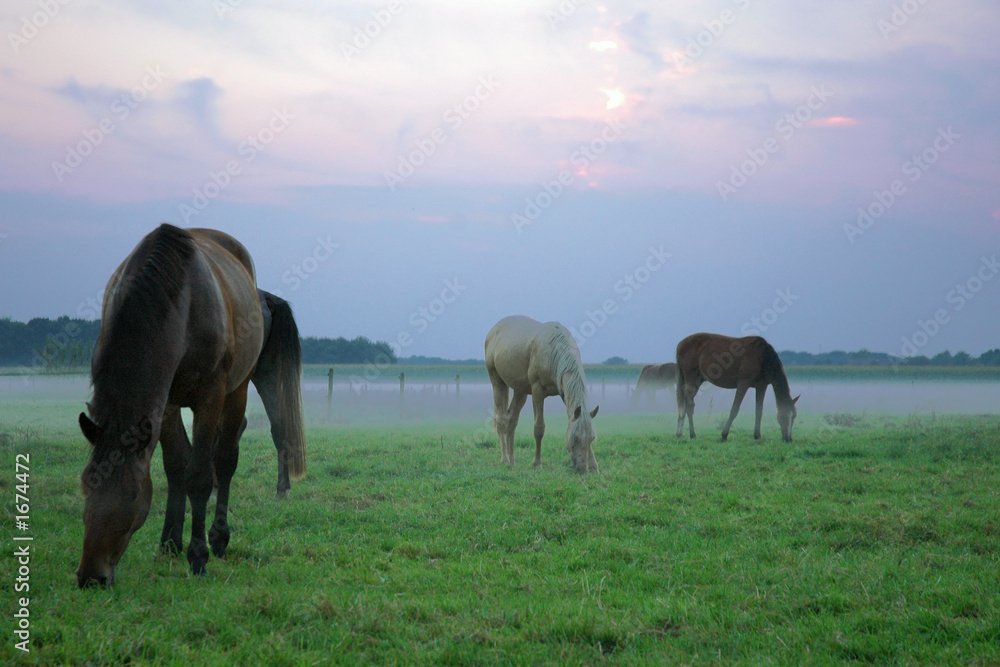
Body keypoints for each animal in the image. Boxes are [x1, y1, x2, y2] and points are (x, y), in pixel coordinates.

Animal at [77, 226, 304, 588]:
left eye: (133, 494)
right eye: (86, 485)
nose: (91, 576)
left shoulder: (210, 393)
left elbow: (198, 475)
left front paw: (198, 555)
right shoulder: (165, 401)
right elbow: (176, 465)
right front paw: (170, 540)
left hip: (245, 383)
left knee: (229, 456)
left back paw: (222, 535)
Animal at [482, 316, 596, 472]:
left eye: (592, 438)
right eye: (575, 438)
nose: (582, 469)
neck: (553, 350)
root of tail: (494, 330)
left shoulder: (563, 393)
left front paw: (594, 466)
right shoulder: (537, 391)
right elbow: (539, 428)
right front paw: (537, 463)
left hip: (520, 390)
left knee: (511, 420)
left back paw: (512, 461)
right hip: (497, 381)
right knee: (501, 420)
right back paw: (505, 460)